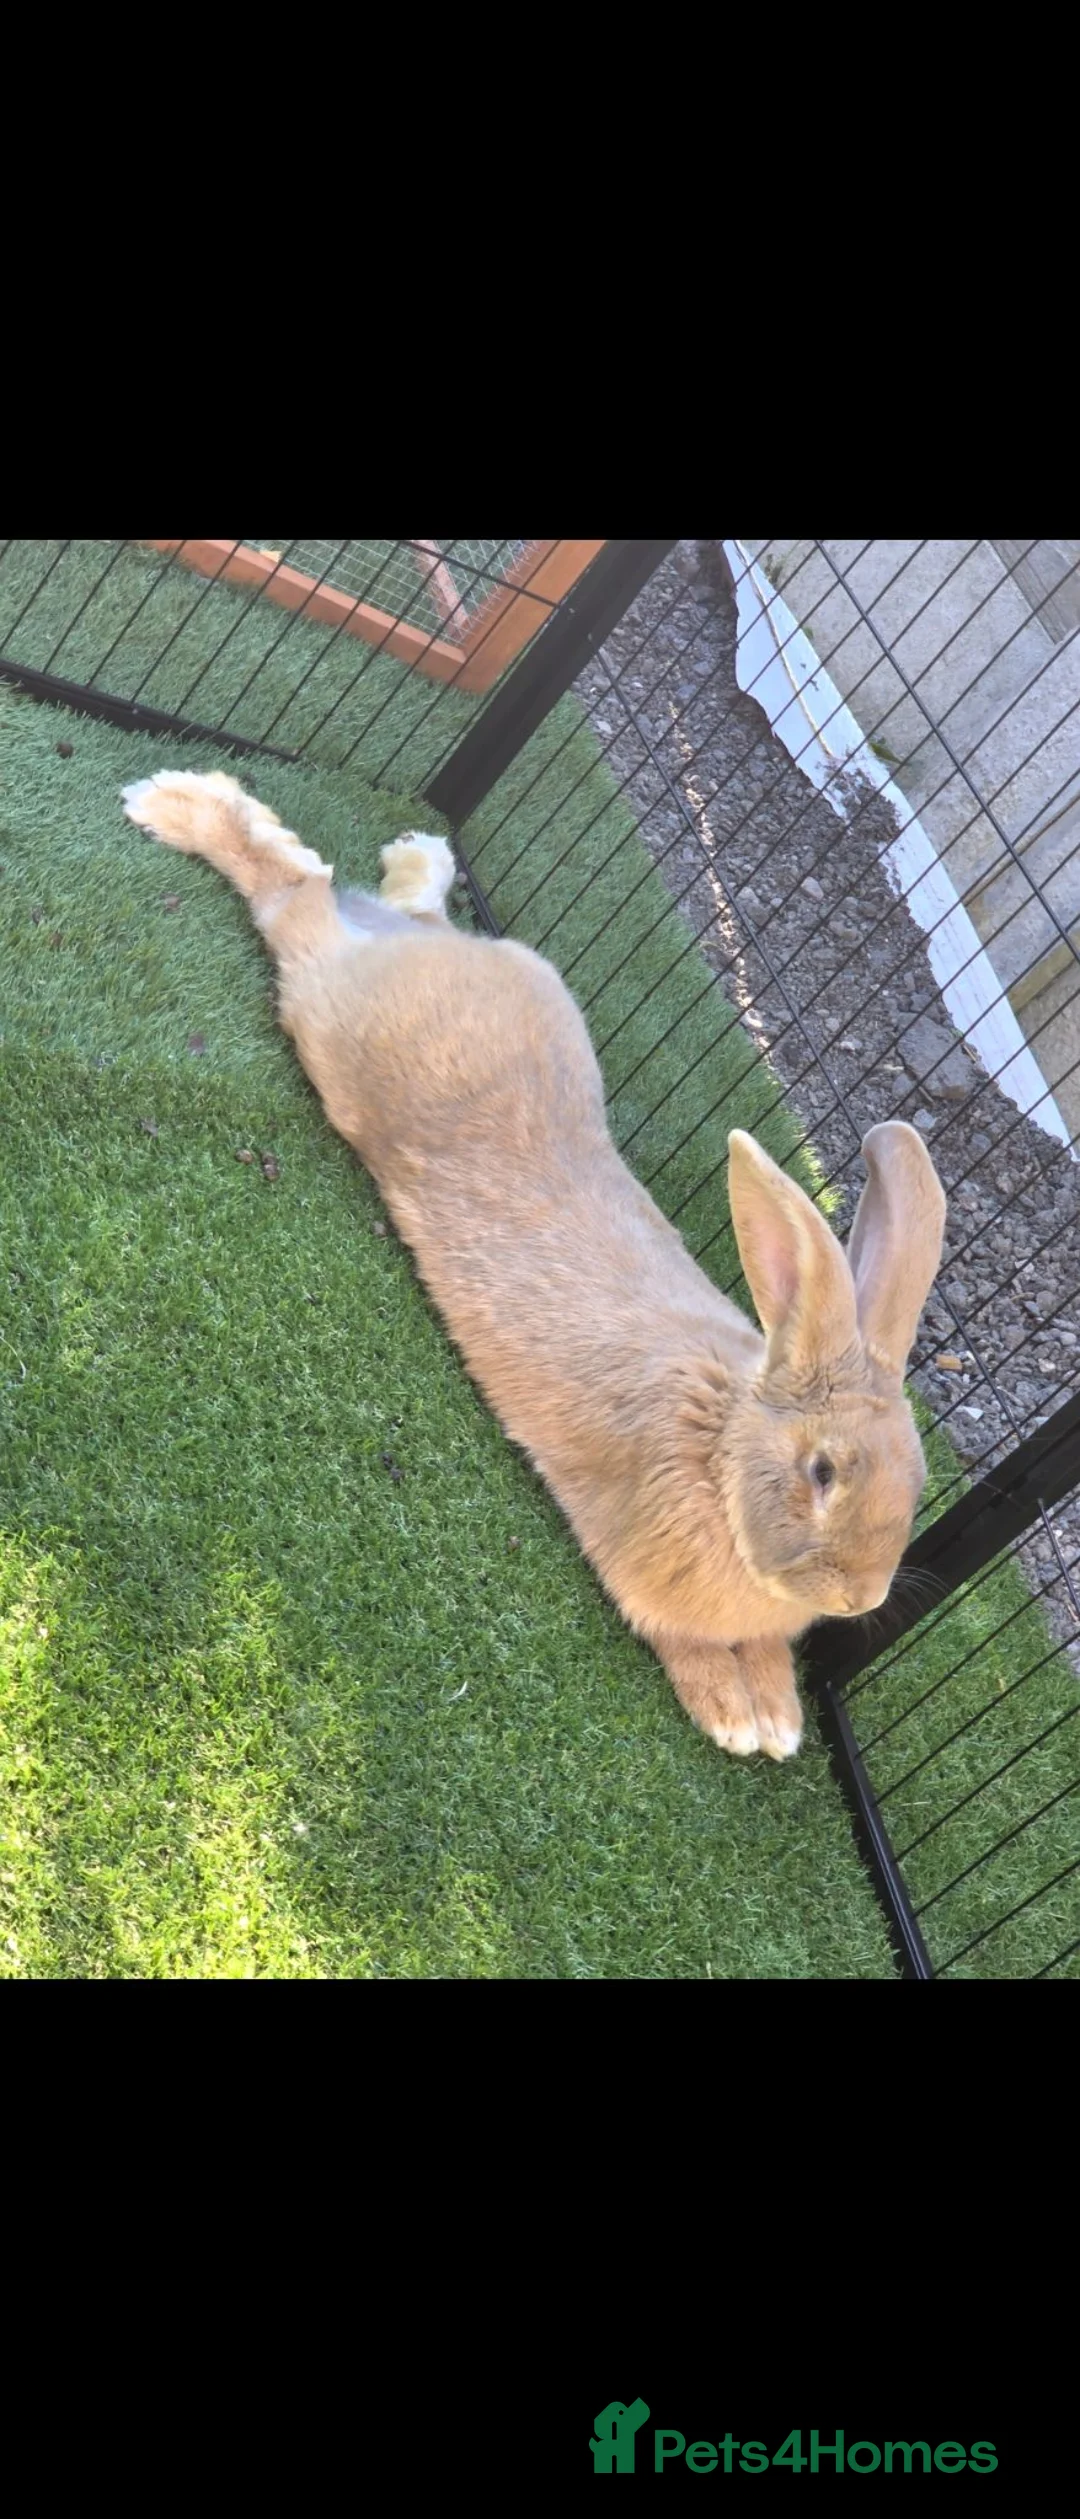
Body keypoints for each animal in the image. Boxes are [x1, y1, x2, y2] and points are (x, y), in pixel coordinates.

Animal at [121, 769, 947, 1762]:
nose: (859, 1596)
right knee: (300, 893)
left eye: (916, 1485)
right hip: (331, 1008)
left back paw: (414, 858)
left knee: (389, 909)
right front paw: (742, 1716)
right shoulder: (640, 1567)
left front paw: (780, 1716)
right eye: (823, 1473)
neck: (717, 1450)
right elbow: (688, 1644)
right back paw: (171, 806)